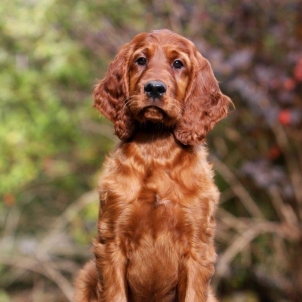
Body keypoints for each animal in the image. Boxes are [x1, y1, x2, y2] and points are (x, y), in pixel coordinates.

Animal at [75, 28, 231, 302]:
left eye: (178, 64)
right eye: (140, 60)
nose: (155, 88)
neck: (156, 148)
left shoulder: (197, 248)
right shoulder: (112, 243)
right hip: (86, 276)